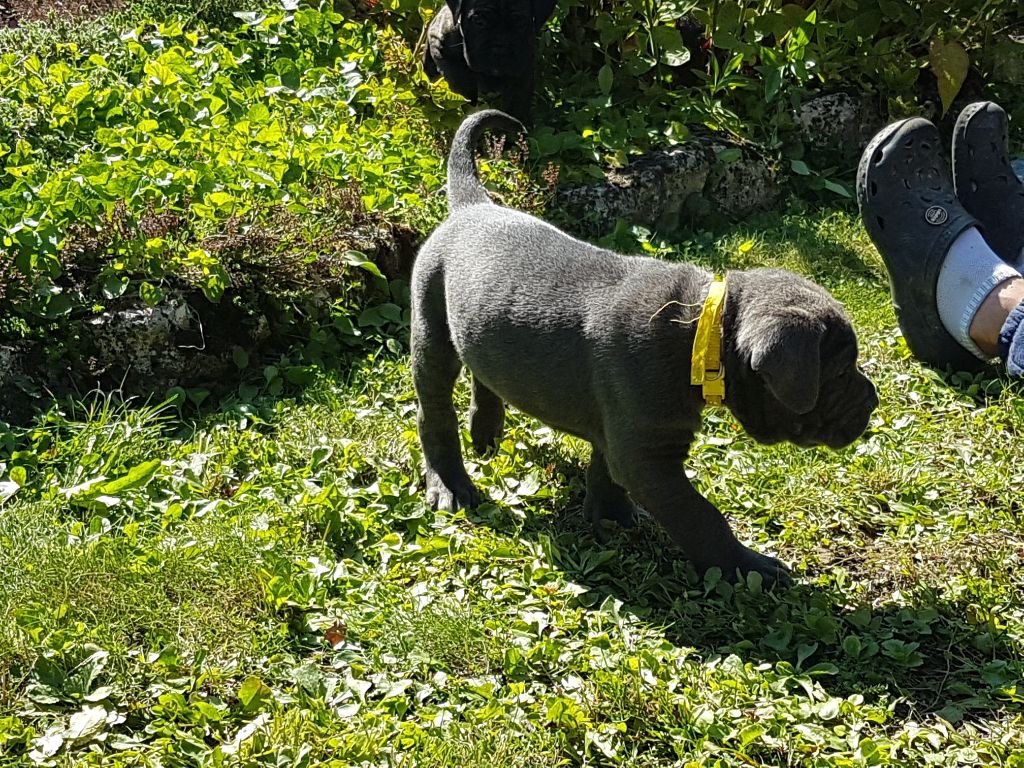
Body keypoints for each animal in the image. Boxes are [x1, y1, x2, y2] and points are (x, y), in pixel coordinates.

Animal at [411, 111, 876, 585]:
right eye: (839, 372)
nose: (873, 401)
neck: (701, 331)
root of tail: (473, 206)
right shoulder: (648, 453)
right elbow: (701, 517)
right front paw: (747, 567)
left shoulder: (623, 433)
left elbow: (606, 468)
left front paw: (610, 515)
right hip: (430, 327)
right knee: (434, 414)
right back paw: (450, 484)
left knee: (483, 377)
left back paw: (485, 434)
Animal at [419, 0, 557, 121]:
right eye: (478, 21)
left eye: (520, 22)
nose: (500, 48)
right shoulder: (441, 48)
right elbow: (463, 84)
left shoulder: (522, 71)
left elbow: (515, 105)